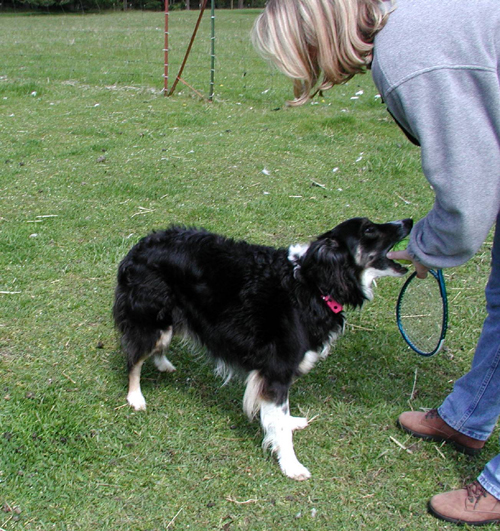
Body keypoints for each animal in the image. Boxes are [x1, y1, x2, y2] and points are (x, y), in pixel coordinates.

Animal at [114, 218, 414, 480]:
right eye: (368, 229)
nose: (409, 221)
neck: (313, 283)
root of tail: (140, 244)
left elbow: (281, 414)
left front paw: (290, 422)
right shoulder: (277, 369)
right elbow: (278, 423)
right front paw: (291, 465)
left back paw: (163, 363)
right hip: (151, 317)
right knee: (134, 359)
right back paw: (135, 397)